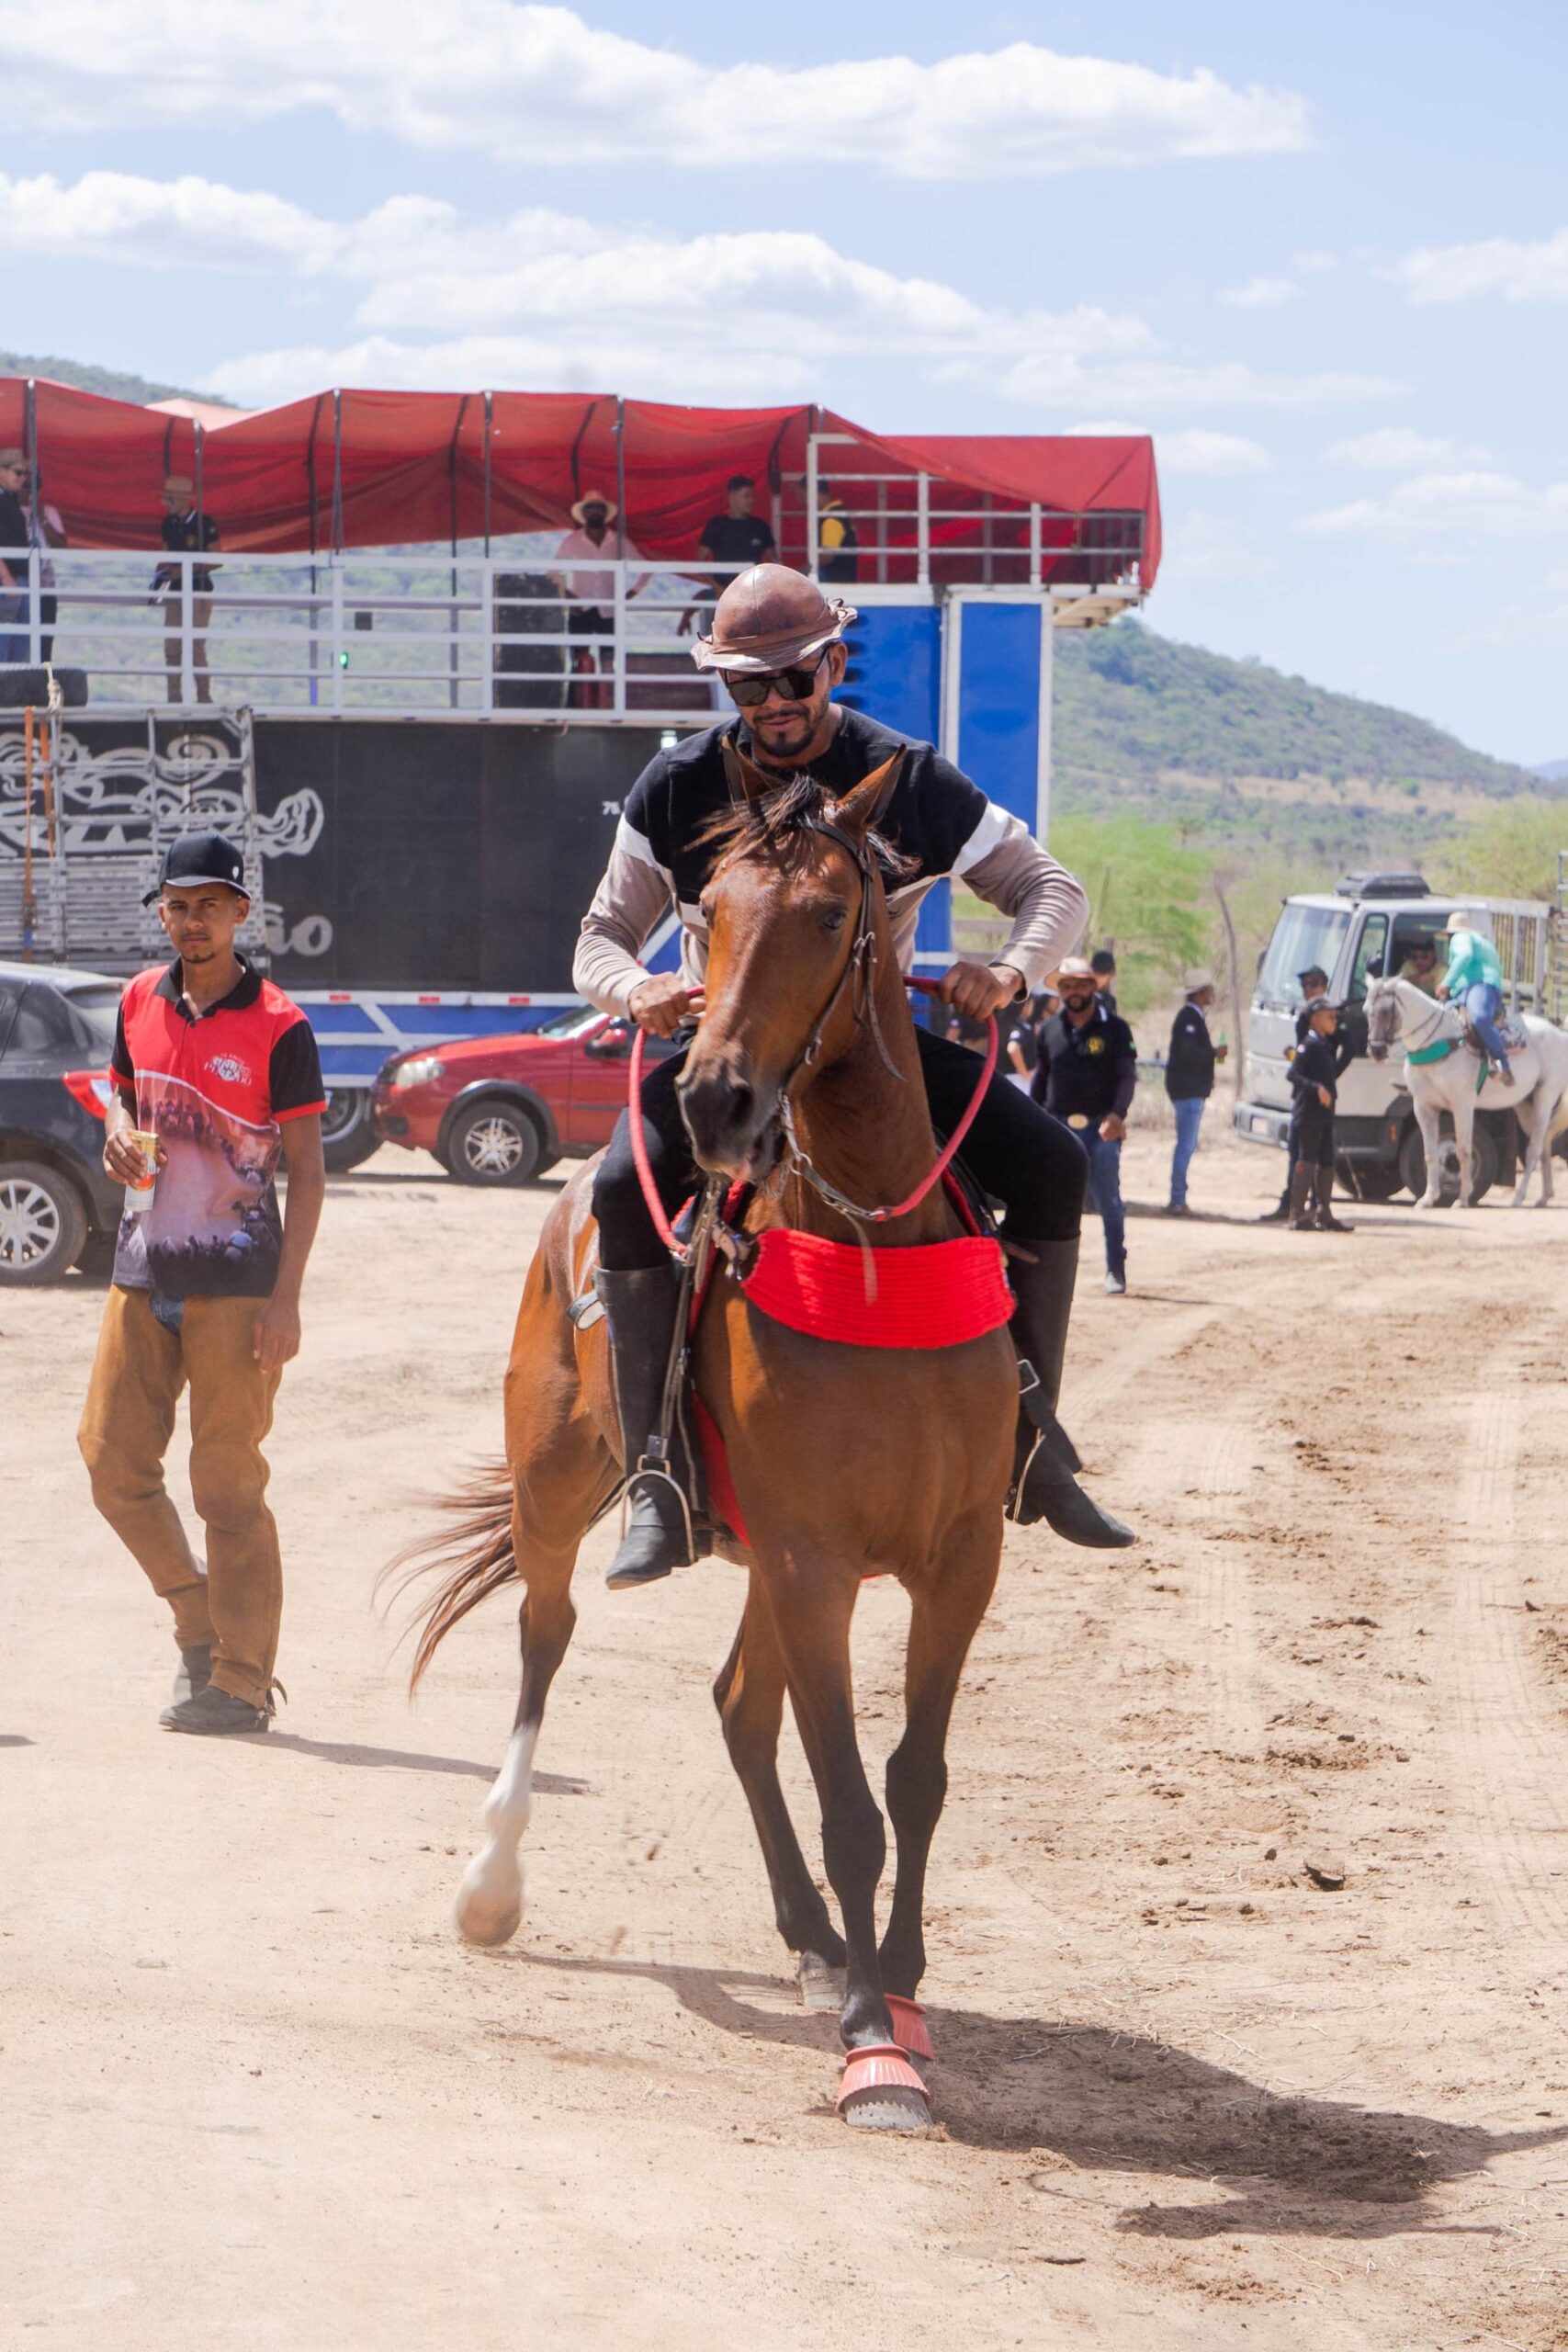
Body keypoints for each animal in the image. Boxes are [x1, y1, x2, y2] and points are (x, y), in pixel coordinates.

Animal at [398, 750, 1022, 2133]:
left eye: (834, 915)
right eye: (709, 916)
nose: (713, 1097)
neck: (866, 1250)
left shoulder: (954, 1560)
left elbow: (918, 1778)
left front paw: (896, 1983)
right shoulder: (812, 1562)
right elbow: (851, 1805)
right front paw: (873, 2048)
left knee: (740, 1707)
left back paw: (812, 1941)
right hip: (561, 1485)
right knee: (546, 1640)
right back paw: (493, 1879)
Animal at [1364, 974, 1568, 1208]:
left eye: (1385, 1011)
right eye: (1365, 1010)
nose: (1376, 1051)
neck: (1436, 1040)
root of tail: (1559, 1034)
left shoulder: (1462, 1104)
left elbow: (1462, 1150)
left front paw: (1462, 1198)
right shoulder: (1423, 1106)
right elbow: (1429, 1152)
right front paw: (1428, 1198)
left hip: (1545, 1098)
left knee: (1534, 1150)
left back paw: (1518, 1198)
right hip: (1526, 1105)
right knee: (1544, 1146)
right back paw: (1544, 1196)